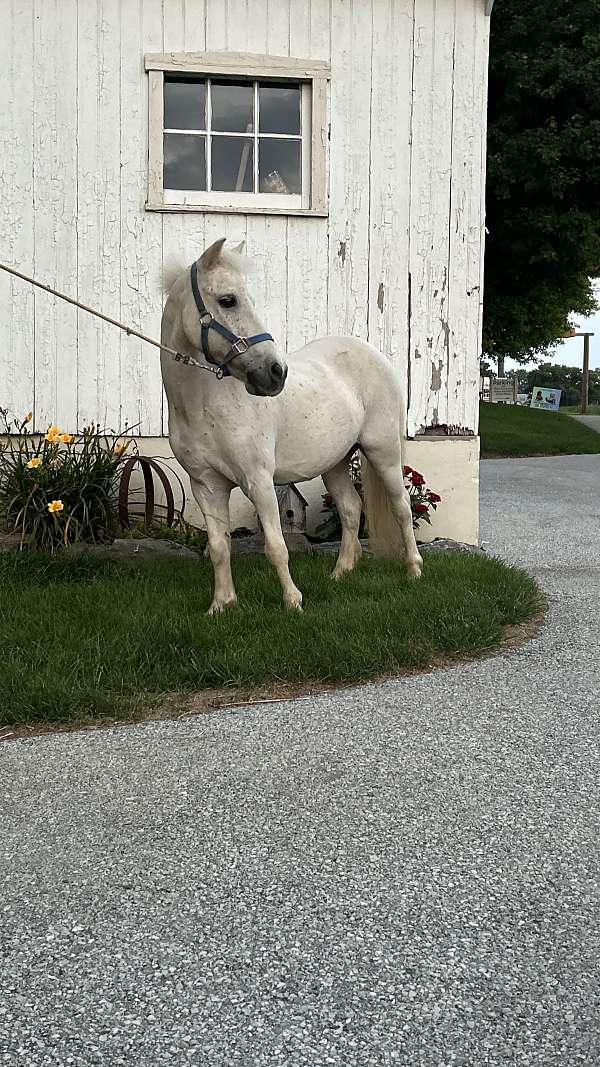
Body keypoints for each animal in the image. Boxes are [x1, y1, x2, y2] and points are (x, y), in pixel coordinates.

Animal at [159, 236, 420, 614]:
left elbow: (276, 546)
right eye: (228, 299)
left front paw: (293, 602)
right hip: (336, 462)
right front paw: (221, 605)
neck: (204, 406)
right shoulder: (206, 486)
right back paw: (339, 574)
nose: (275, 372)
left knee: (401, 507)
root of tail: (375, 355)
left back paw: (414, 569)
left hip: (383, 452)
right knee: (351, 509)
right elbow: (220, 548)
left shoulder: (258, 481)